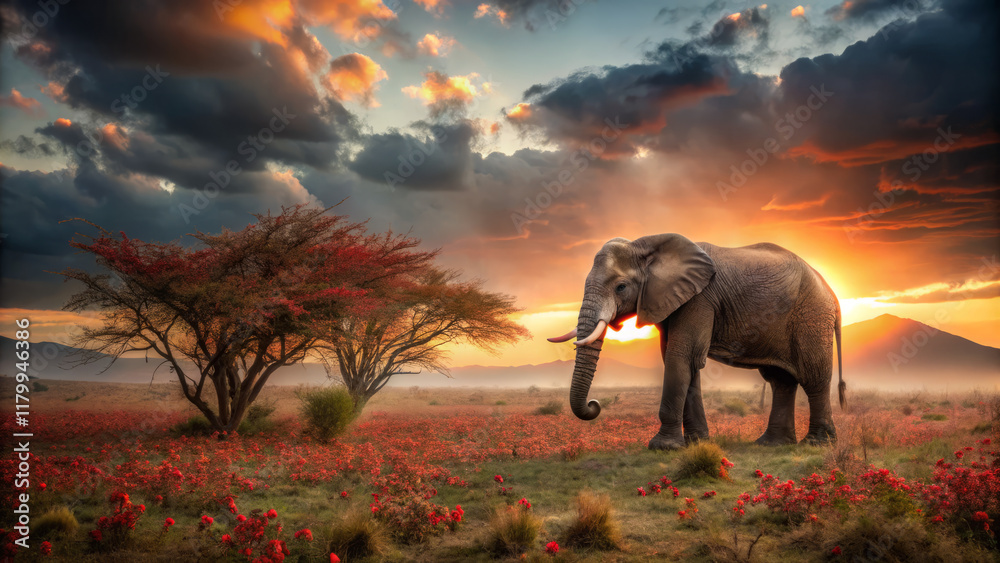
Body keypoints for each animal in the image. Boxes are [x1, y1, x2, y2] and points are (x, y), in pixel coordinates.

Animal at [548, 234, 845, 450]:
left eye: (621, 287)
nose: (594, 404)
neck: (645, 245)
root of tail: (831, 293)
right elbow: (686, 360)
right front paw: (696, 442)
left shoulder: (700, 298)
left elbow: (681, 357)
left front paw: (663, 447)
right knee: (780, 380)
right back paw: (772, 444)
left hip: (811, 315)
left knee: (813, 376)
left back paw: (816, 443)